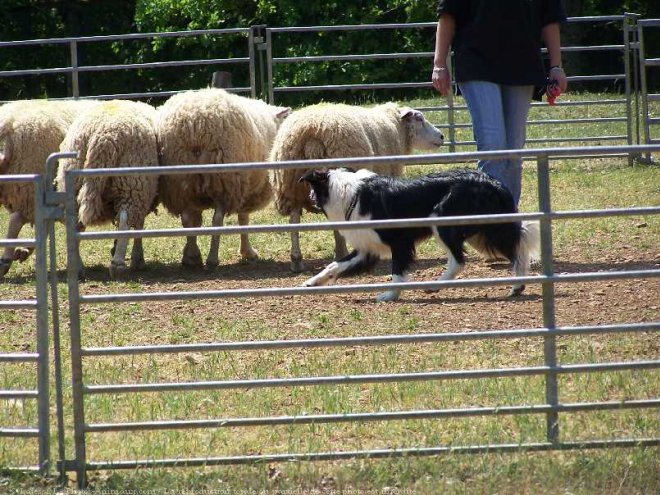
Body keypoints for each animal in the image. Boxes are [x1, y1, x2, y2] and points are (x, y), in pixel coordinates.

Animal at [56, 99, 159, 280]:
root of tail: (101, 137)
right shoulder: (144, 192)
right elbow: (138, 225)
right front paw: (137, 259)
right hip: (131, 183)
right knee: (125, 219)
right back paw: (117, 264)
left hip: (73, 183)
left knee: (73, 222)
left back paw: (77, 267)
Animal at [156, 87, 290, 270]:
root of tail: (194, 124)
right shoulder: (245, 188)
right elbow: (243, 218)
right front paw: (248, 252)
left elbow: (196, 221)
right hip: (225, 182)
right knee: (217, 220)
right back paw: (212, 259)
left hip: (180, 182)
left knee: (186, 219)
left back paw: (192, 257)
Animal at [270, 101, 446, 272]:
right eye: (419, 118)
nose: (442, 136)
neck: (395, 127)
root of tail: (312, 132)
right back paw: (340, 252)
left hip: (290, 186)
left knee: (294, 220)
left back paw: (296, 260)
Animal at [302, 169, 540, 302]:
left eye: (312, 188)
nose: (308, 198)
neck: (351, 195)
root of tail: (495, 183)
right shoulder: (366, 249)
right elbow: (335, 265)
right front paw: (312, 282)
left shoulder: (400, 242)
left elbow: (397, 272)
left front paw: (390, 296)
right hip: (478, 232)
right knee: (517, 248)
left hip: (443, 221)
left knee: (461, 260)